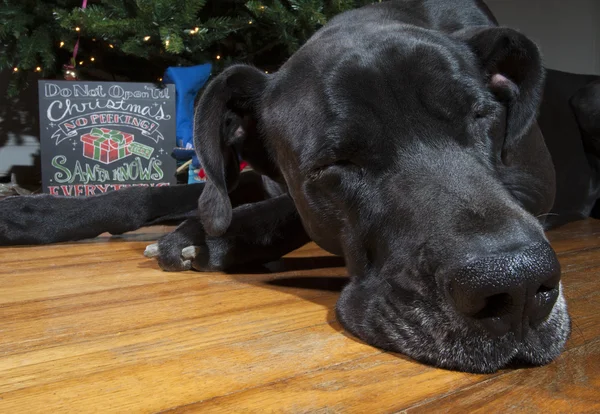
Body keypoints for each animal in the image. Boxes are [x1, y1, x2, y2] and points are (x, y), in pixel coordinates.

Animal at [1, 0, 600, 374]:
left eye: (482, 116)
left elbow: (279, 209)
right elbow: (169, 191)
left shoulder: (531, 184)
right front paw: (31, 214)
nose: (517, 288)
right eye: (334, 162)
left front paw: (213, 238)